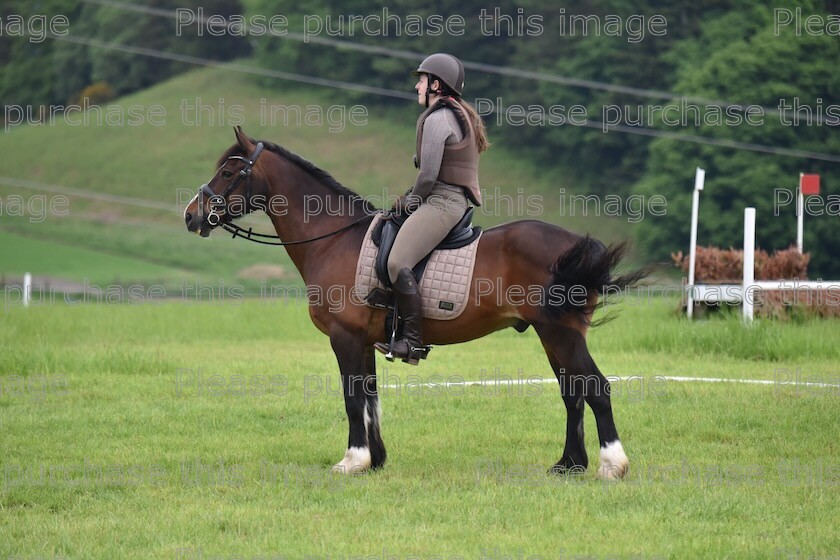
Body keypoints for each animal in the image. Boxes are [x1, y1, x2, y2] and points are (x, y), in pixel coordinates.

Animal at [182, 128, 644, 482]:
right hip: (553, 337)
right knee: (572, 393)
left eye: (228, 171)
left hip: (561, 334)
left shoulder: (344, 337)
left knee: (595, 388)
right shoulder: (365, 341)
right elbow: (370, 398)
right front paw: (374, 461)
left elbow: (352, 398)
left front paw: (352, 461)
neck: (333, 239)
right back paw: (569, 465)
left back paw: (611, 466)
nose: (191, 215)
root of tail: (575, 246)